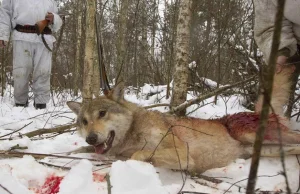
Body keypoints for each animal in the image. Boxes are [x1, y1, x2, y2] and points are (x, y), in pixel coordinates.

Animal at [67, 65, 300, 173]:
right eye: (84, 122)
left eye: (102, 113)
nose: (91, 138)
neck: (132, 132)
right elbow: (79, 151)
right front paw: (71, 151)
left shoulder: (181, 151)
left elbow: (139, 154)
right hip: (267, 148)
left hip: (255, 134)